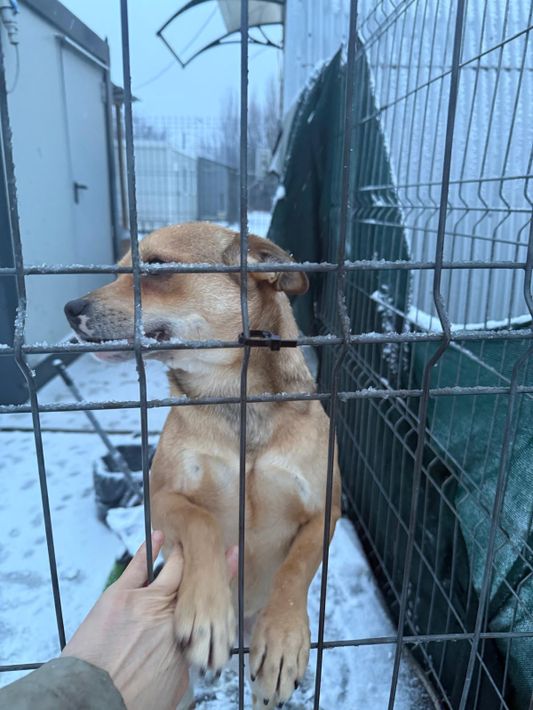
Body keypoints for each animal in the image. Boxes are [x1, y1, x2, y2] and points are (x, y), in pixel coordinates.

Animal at [64, 222, 341, 708]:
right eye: (118, 271)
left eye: (155, 267)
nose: (69, 308)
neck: (236, 401)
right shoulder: (159, 497)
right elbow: (201, 522)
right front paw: (208, 613)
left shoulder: (327, 508)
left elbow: (296, 568)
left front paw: (283, 637)